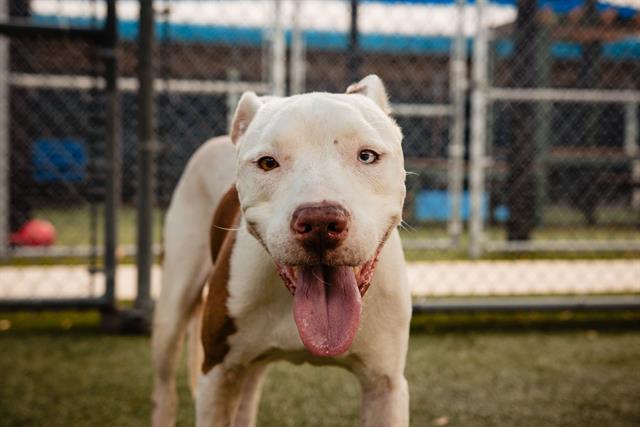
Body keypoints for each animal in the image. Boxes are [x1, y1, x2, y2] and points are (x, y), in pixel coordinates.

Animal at [151, 75, 410, 426]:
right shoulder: (218, 373)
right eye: (267, 163)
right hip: (173, 310)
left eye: (367, 156)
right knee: (165, 388)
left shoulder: (385, 386)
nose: (320, 221)